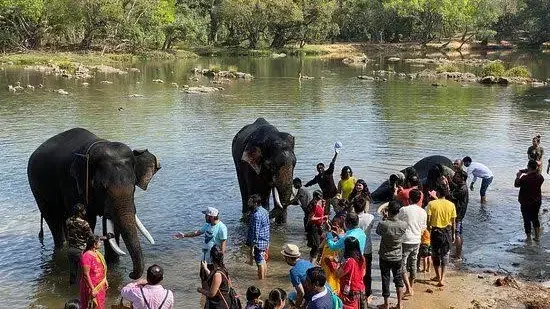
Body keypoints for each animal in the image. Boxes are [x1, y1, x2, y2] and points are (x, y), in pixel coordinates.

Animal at [27, 127, 161, 280]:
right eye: (102, 187)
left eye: (133, 186)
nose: (131, 274)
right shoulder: (71, 184)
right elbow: (87, 220)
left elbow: (112, 223)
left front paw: (113, 264)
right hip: (37, 189)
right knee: (53, 219)